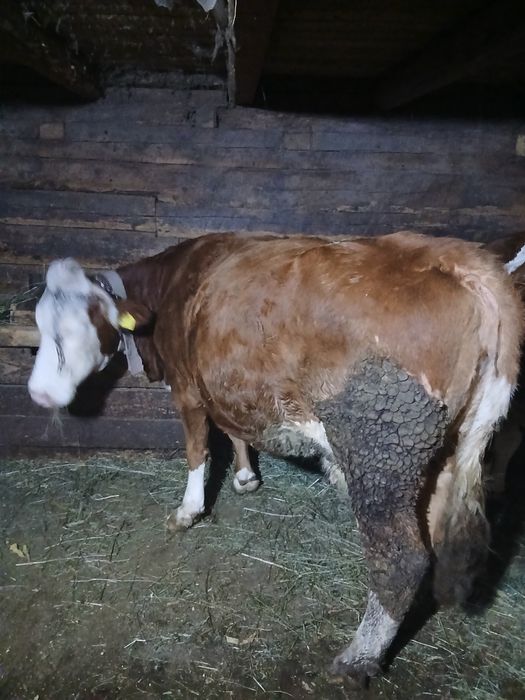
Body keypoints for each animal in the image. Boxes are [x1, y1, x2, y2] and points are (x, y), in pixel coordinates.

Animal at [28, 231, 523, 683]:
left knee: (400, 558)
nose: (38, 393)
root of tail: (452, 256)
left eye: (72, 331)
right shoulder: (221, 379)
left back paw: (356, 660)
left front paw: (188, 511)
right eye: (40, 327)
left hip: (382, 448)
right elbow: (233, 428)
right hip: (449, 449)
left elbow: (197, 447)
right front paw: (246, 477)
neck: (173, 284)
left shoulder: (186, 385)